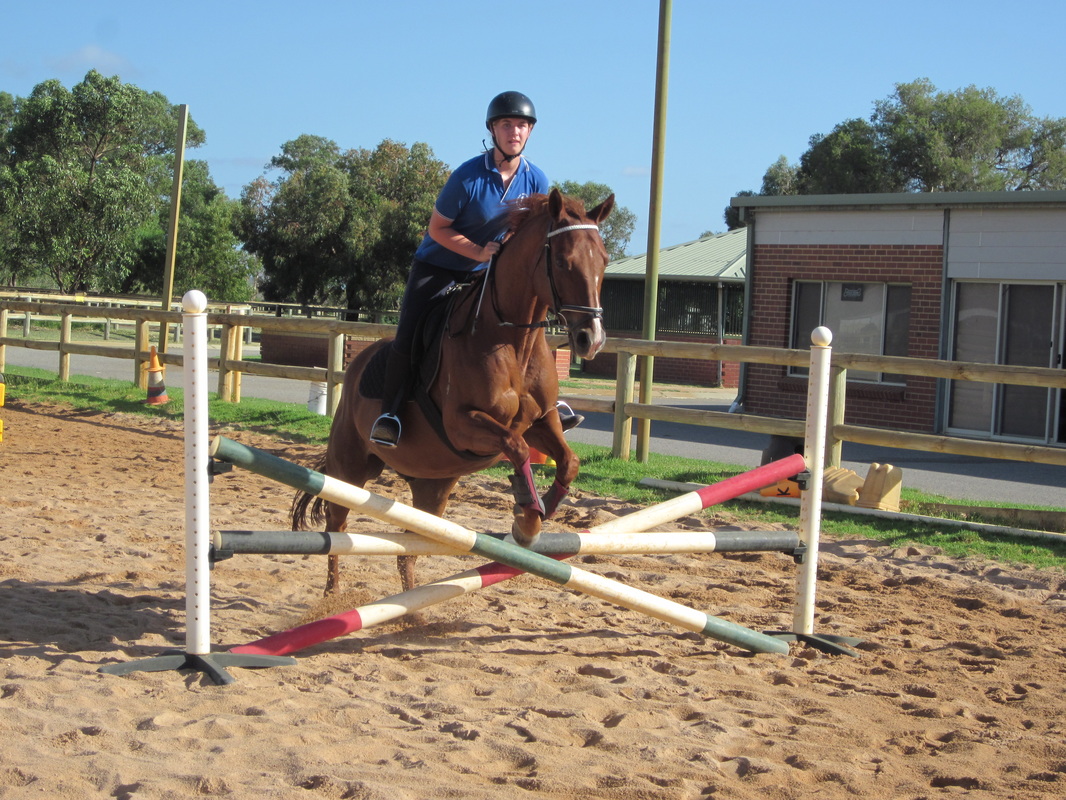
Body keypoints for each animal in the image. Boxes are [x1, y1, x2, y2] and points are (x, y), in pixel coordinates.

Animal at [292, 189, 618, 597]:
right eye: (562, 261)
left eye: (604, 260)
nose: (592, 339)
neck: (513, 340)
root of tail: (355, 366)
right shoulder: (465, 424)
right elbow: (517, 447)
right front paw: (526, 521)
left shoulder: (542, 421)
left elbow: (568, 461)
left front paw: (539, 510)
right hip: (350, 468)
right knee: (336, 526)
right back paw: (332, 596)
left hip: (433, 486)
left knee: (407, 550)